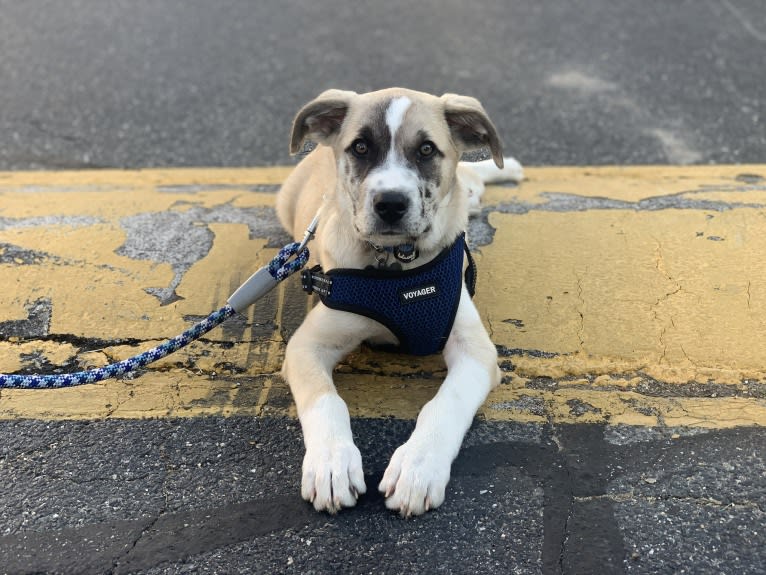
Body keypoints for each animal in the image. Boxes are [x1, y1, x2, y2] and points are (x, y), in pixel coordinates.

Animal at [276, 86, 520, 516]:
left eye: (426, 150)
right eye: (360, 147)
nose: (390, 203)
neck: (395, 265)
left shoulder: (474, 350)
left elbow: (445, 403)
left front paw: (418, 466)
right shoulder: (306, 346)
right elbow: (326, 401)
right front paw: (331, 462)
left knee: (468, 178)